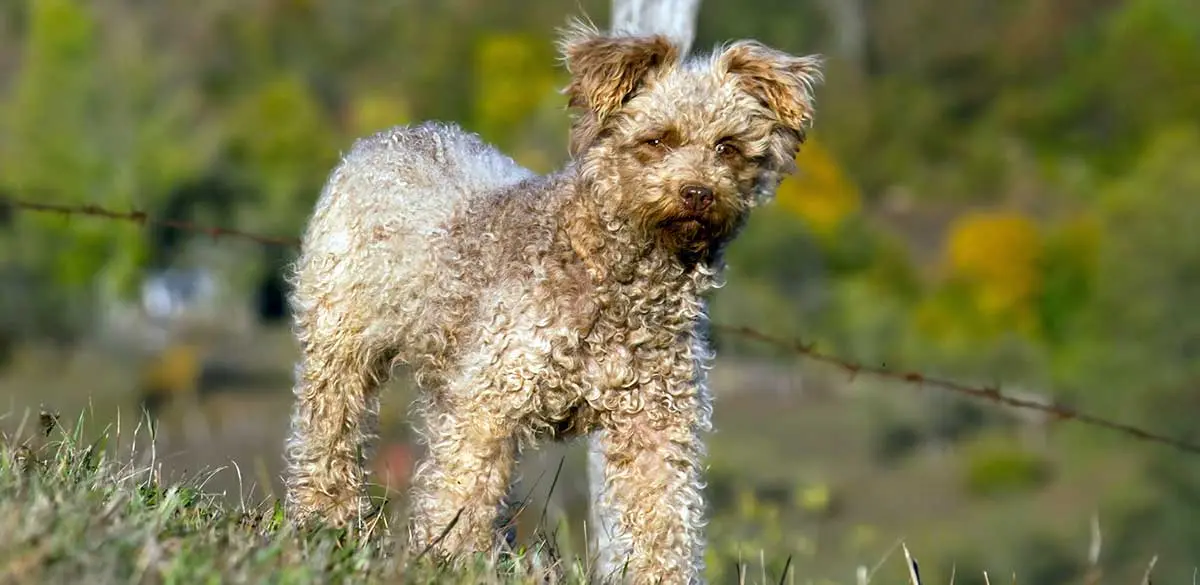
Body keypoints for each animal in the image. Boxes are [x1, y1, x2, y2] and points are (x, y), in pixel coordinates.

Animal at [285, 20, 820, 582]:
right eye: (656, 140)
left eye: (728, 148)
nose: (698, 193)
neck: (615, 280)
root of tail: (392, 135)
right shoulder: (489, 400)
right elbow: (462, 491)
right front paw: (453, 563)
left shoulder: (658, 420)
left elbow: (665, 518)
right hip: (342, 345)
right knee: (328, 432)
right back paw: (324, 519)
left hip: (446, 375)